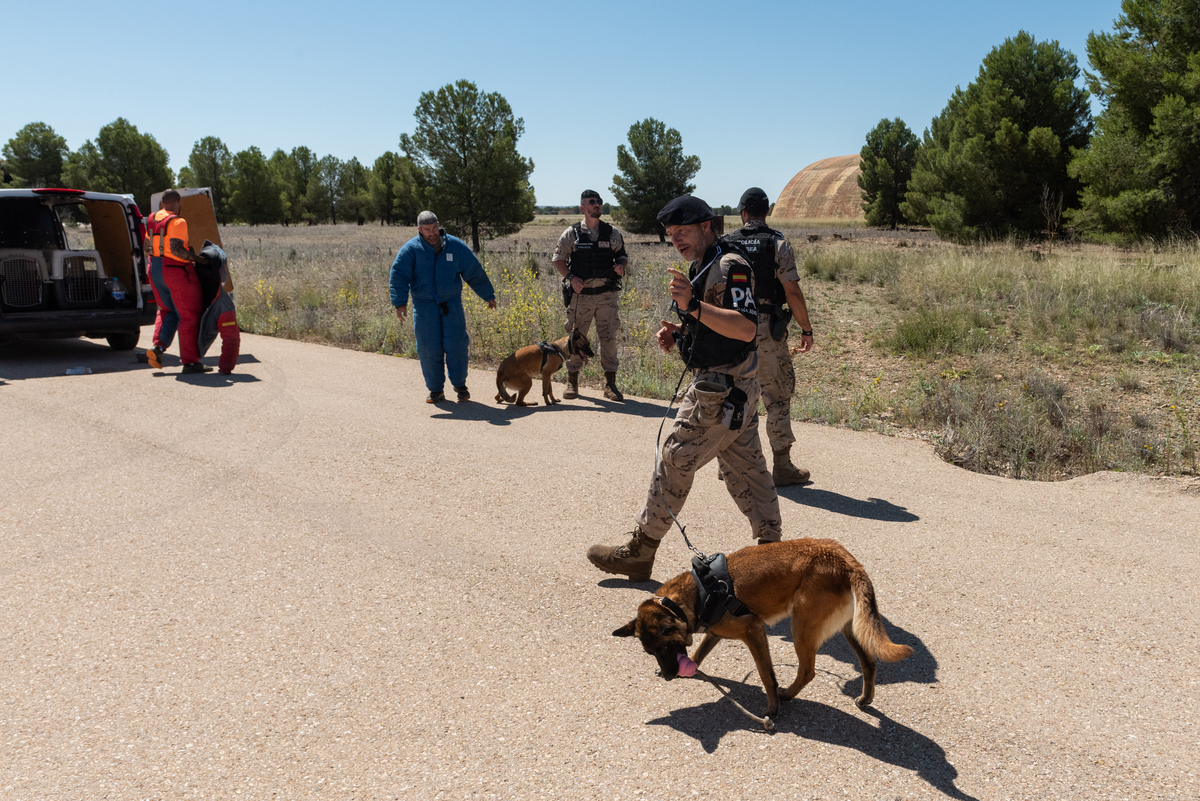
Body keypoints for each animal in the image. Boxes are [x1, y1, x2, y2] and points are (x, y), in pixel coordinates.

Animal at [614, 537, 912, 719]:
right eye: (651, 652)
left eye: (665, 647)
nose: (669, 676)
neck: (698, 592)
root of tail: (845, 559)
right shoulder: (714, 633)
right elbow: (698, 653)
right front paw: (692, 669)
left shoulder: (754, 632)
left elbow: (766, 675)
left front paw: (772, 709)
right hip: (849, 629)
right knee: (869, 663)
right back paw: (865, 698)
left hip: (801, 628)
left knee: (807, 671)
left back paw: (787, 695)